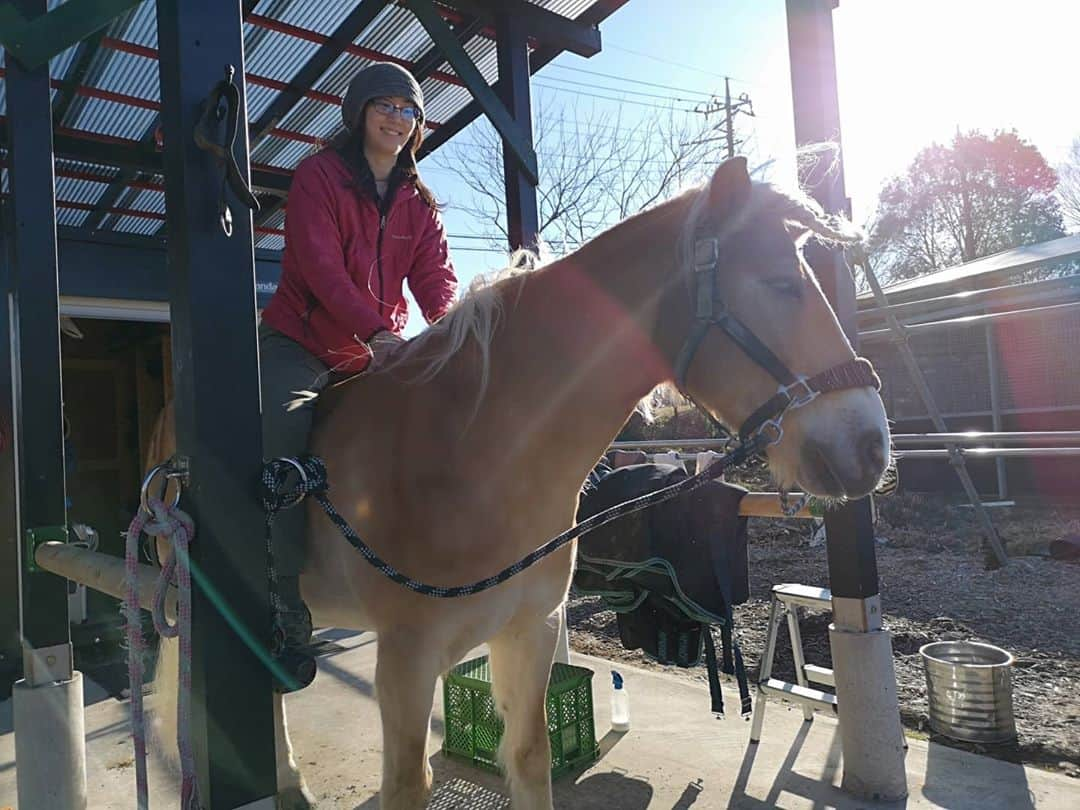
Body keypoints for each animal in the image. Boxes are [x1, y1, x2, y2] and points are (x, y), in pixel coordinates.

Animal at [152, 159, 889, 810]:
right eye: (781, 283)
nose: (871, 447)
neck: (472, 453)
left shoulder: (528, 633)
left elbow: (530, 758)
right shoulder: (405, 659)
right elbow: (406, 787)